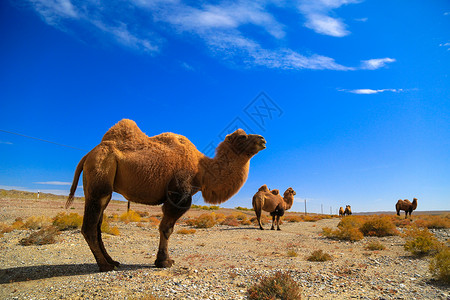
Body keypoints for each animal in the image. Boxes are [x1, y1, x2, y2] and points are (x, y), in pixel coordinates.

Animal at [65, 119, 266, 272]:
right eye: (243, 137)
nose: (263, 139)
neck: (201, 170)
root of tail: (87, 155)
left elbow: (167, 228)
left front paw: (163, 260)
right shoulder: (178, 194)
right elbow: (166, 229)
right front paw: (164, 261)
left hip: (102, 186)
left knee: (97, 226)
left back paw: (112, 261)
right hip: (100, 177)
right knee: (90, 227)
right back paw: (105, 266)